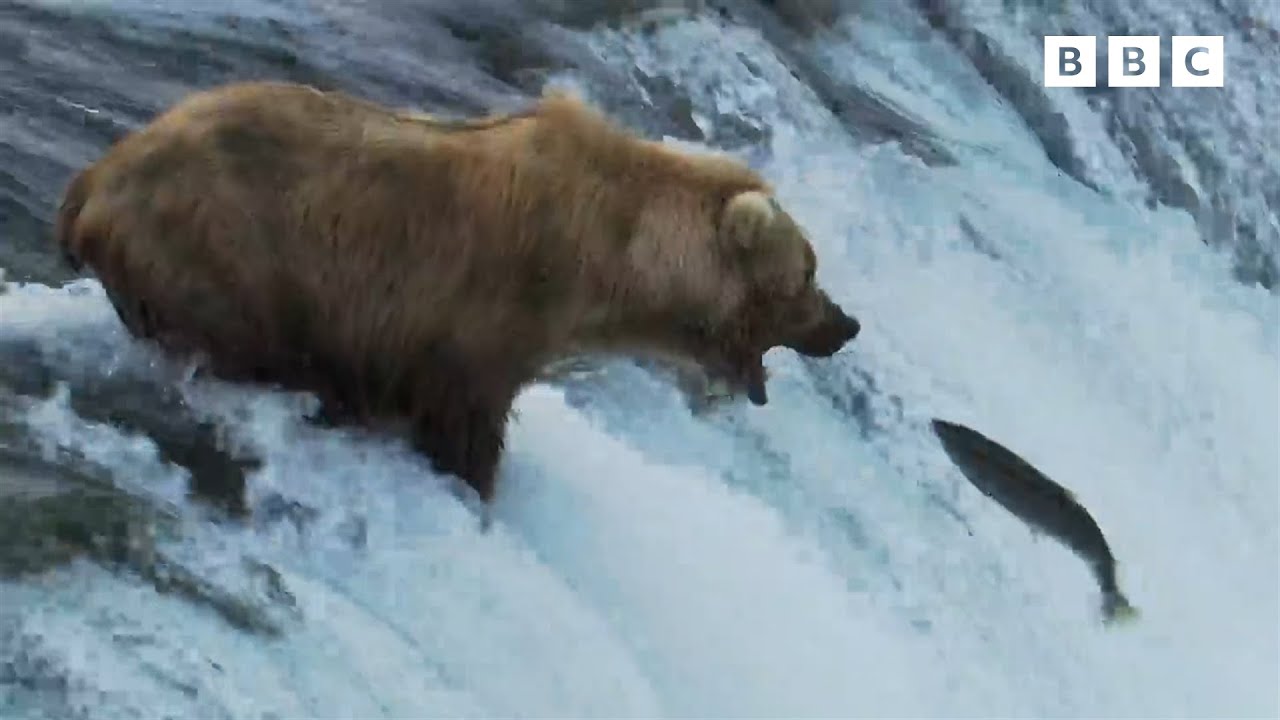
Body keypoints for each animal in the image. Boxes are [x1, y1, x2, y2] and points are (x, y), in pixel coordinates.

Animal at [54, 80, 861, 505]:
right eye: (808, 273)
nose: (845, 324)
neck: (614, 262)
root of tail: (94, 179)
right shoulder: (481, 313)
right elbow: (466, 421)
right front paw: (474, 483)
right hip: (225, 255)